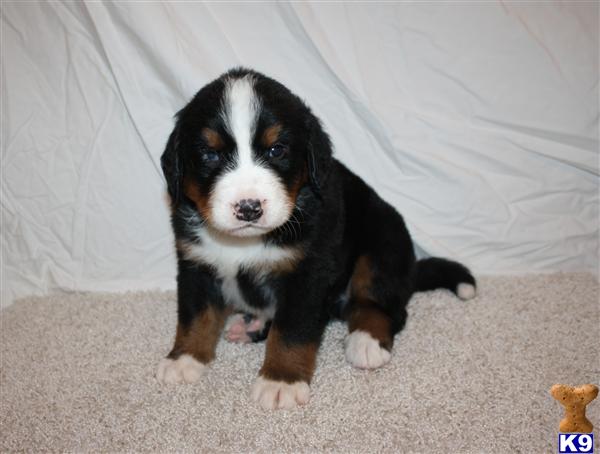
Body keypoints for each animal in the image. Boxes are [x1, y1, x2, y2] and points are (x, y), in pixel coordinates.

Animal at [157, 68, 476, 412]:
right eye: (209, 154)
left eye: (276, 150)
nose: (248, 207)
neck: (244, 243)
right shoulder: (196, 263)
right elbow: (194, 316)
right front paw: (184, 359)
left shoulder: (308, 272)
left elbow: (292, 330)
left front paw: (280, 380)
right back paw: (250, 326)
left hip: (383, 241)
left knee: (381, 305)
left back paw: (365, 341)